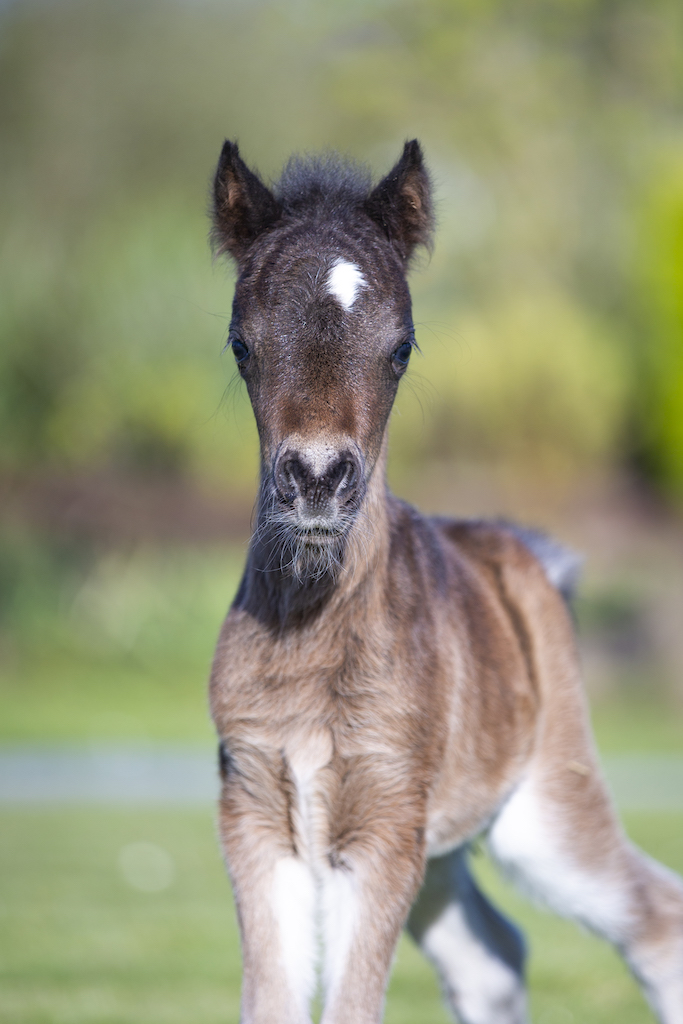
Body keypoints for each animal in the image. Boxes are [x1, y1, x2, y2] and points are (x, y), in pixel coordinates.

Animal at [208, 139, 683, 1024]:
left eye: (400, 348)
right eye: (240, 345)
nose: (316, 480)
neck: (312, 632)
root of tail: (529, 556)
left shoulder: (385, 819)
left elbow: (352, 1006)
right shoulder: (256, 811)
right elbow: (275, 1001)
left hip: (542, 812)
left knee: (650, 917)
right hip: (442, 843)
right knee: (489, 956)